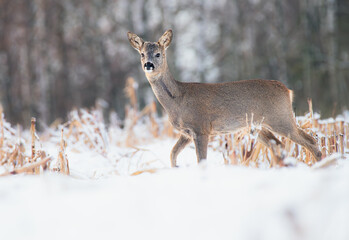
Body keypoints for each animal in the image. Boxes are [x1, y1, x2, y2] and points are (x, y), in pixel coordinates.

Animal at [128, 29, 320, 167]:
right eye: (142, 54)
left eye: (158, 54)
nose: (148, 65)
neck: (178, 100)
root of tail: (287, 90)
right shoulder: (186, 132)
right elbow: (172, 155)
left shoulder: (201, 127)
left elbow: (201, 160)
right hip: (257, 127)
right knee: (279, 145)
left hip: (280, 118)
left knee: (310, 140)